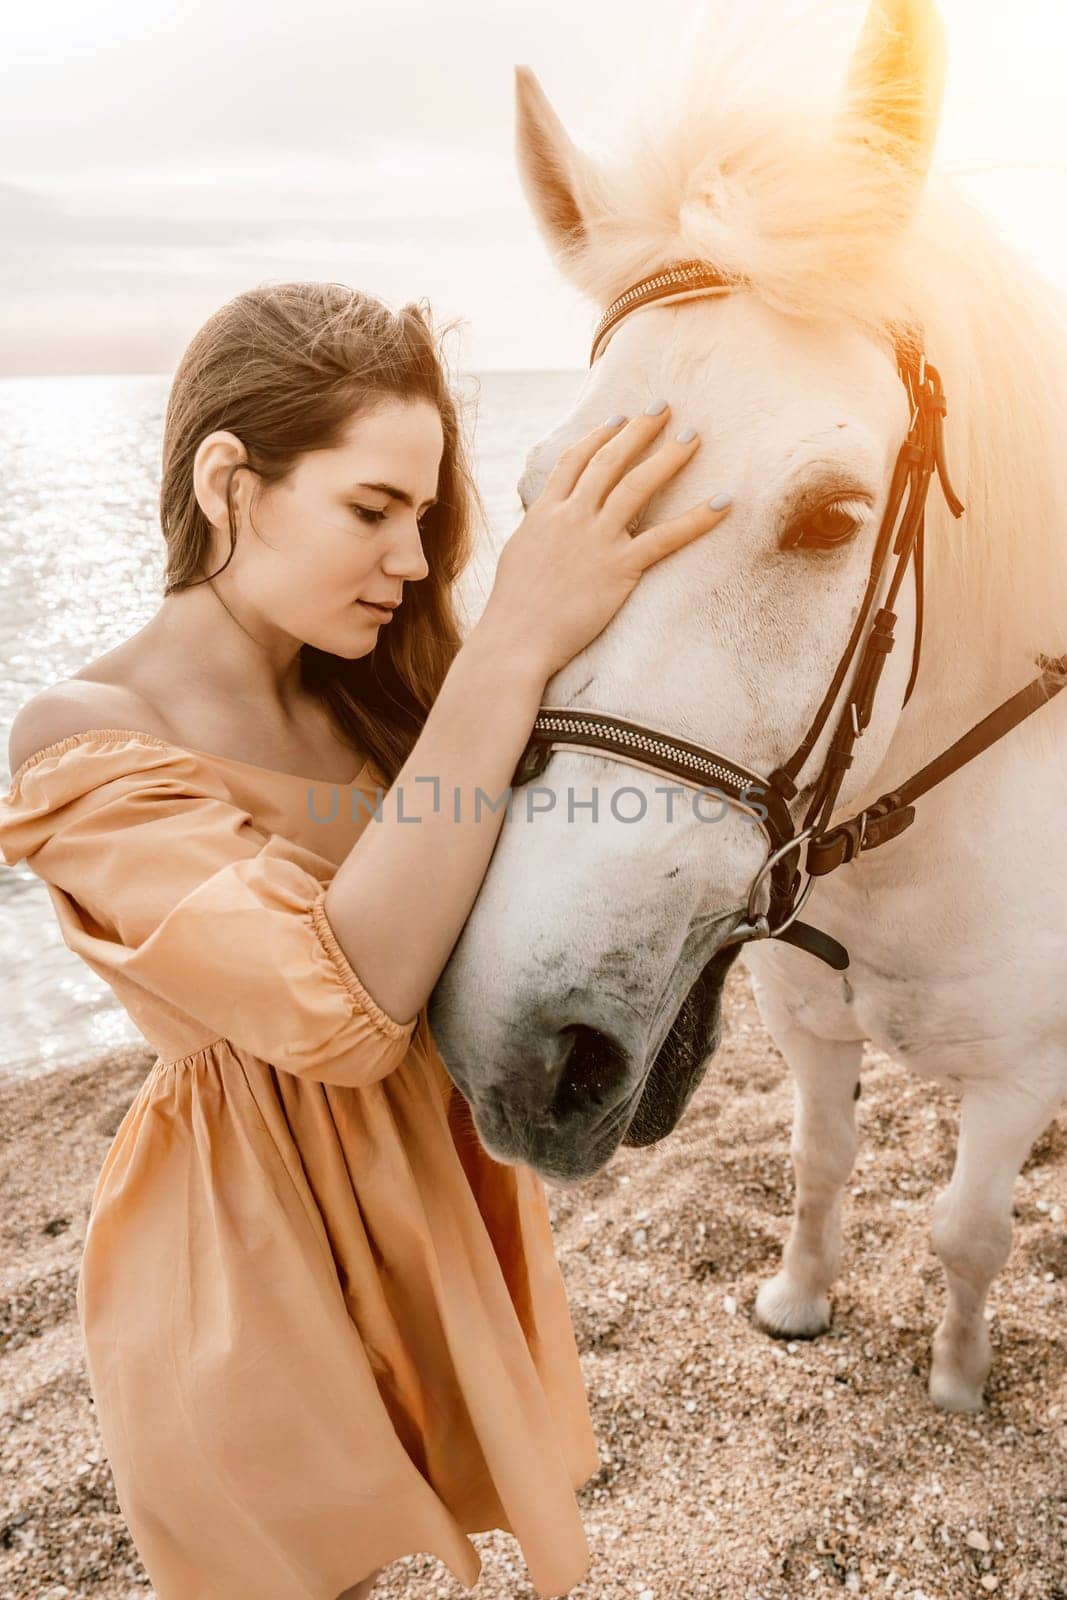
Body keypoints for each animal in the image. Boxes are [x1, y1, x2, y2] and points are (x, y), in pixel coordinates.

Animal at [425, 0, 1067, 1414]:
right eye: (535, 492)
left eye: (829, 515)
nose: (514, 1049)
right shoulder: (808, 1026)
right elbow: (819, 1165)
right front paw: (797, 1304)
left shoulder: (1019, 1073)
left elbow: (966, 1228)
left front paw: (954, 1381)